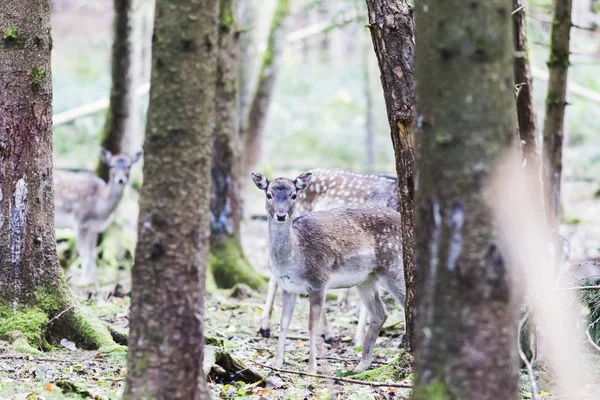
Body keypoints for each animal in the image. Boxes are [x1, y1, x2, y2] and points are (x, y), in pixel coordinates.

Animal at [54, 148, 143, 286]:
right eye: (111, 165)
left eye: (129, 166)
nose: (121, 180)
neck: (99, 209)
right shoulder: (81, 222)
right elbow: (84, 255)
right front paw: (84, 282)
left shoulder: (94, 229)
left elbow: (92, 255)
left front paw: (92, 281)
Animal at [251, 170, 406, 374]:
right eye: (269, 195)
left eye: (294, 195)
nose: (281, 215)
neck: (294, 257)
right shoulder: (288, 287)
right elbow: (284, 324)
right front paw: (276, 364)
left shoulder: (318, 281)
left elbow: (311, 326)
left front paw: (312, 369)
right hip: (367, 279)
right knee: (380, 314)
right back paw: (361, 365)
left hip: (393, 267)